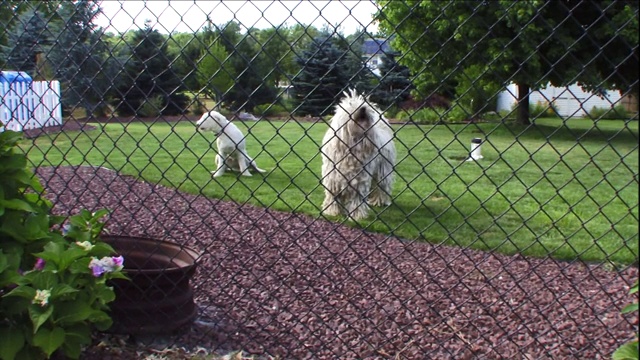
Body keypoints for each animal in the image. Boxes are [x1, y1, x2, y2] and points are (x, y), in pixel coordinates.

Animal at [320, 88, 396, 221]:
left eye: (363, 104)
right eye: (351, 104)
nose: (363, 108)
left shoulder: (360, 179)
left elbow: (357, 197)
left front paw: (357, 215)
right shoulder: (332, 177)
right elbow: (332, 195)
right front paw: (332, 212)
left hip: (383, 169)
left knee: (382, 186)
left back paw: (379, 201)